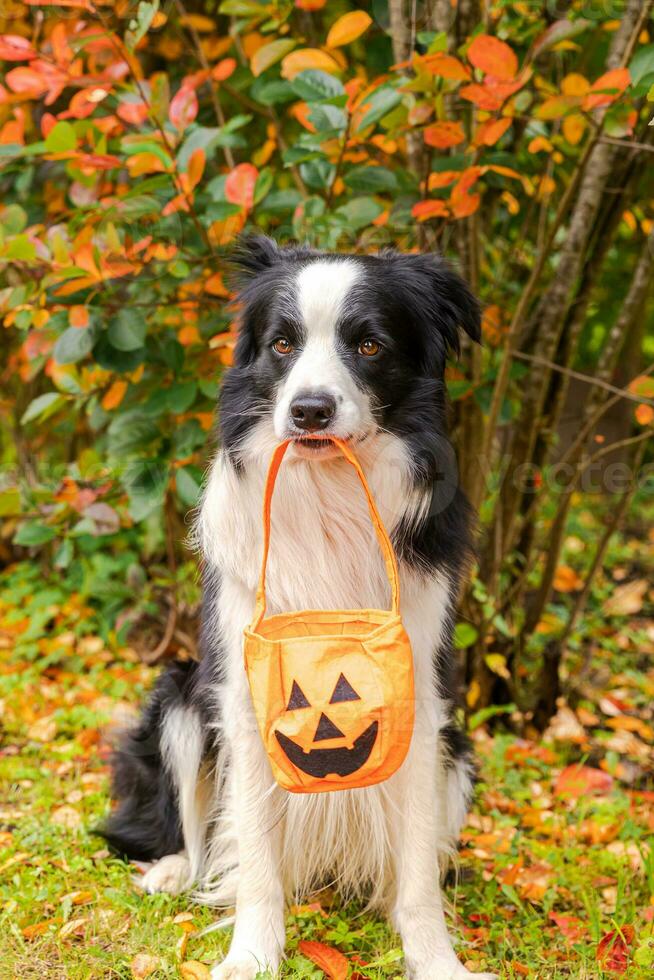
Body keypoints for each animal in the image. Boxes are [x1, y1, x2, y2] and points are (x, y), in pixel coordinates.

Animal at [102, 239, 498, 980]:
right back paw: (172, 868)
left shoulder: (419, 696)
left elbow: (417, 872)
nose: (309, 410)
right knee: (183, 827)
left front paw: (435, 959)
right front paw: (253, 956)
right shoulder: (245, 694)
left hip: (457, 757)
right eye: (282, 343)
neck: (329, 496)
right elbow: (255, 854)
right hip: (179, 697)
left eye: (369, 344)